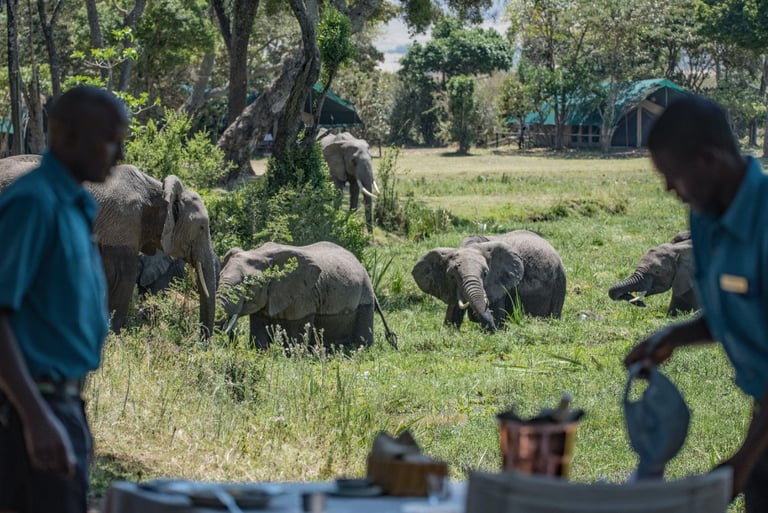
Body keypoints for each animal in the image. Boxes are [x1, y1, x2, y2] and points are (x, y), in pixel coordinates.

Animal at [0, 156, 217, 336]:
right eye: (202, 227)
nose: (201, 341)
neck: (158, 190)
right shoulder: (123, 225)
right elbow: (123, 279)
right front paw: (114, 337)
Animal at [216, 241, 397, 349]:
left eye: (248, 285)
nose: (231, 339)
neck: (260, 254)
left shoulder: (304, 295)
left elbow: (298, 330)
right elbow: (259, 329)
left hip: (365, 295)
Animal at [412, 230, 567, 332]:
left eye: (485, 274)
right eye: (452, 276)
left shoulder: (499, 283)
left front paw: (496, 329)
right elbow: (453, 312)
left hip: (559, 282)